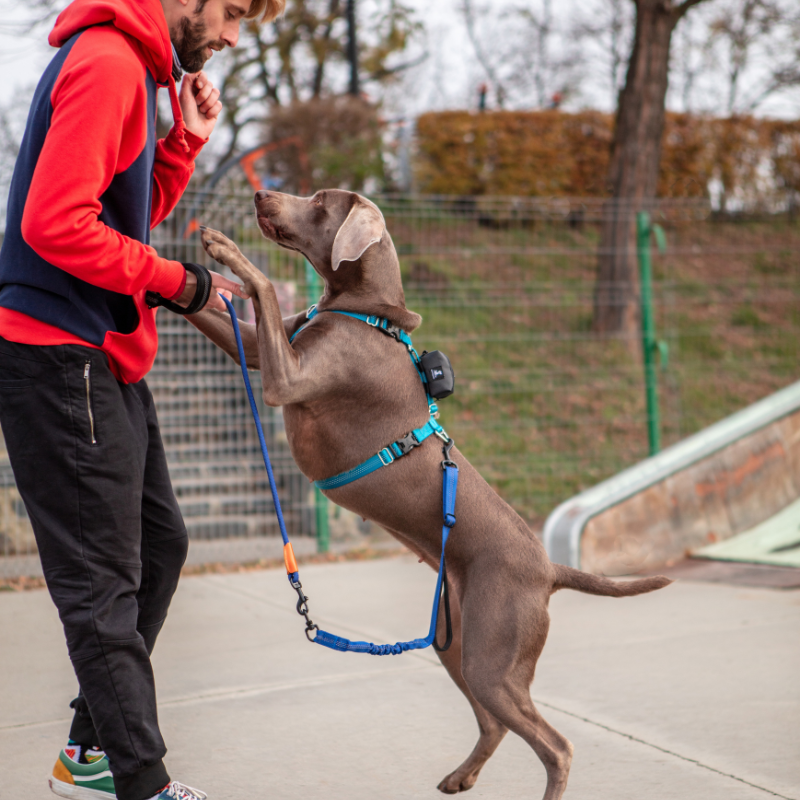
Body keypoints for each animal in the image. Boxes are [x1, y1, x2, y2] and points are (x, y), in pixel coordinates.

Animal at [186, 189, 668, 800]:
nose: (259, 194)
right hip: (456, 642)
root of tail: (549, 569)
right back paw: (461, 776)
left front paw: (224, 248)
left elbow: (267, 289)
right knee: (494, 723)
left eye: (318, 201)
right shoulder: (255, 348)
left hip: (492, 655)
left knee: (556, 745)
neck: (362, 311)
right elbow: (216, 313)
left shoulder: (286, 378)